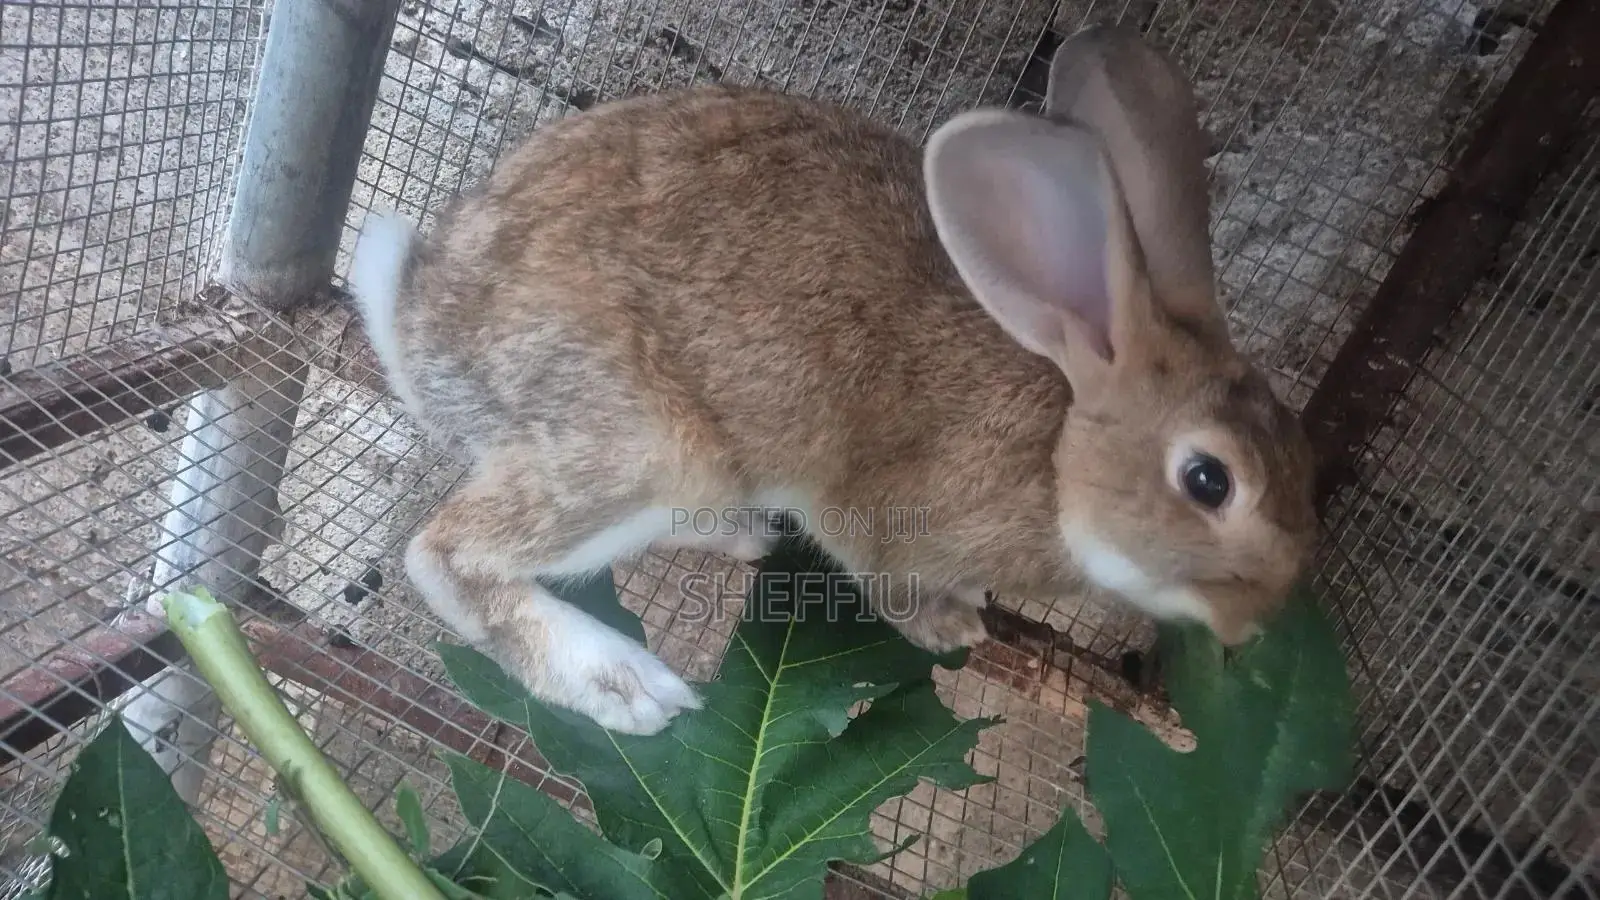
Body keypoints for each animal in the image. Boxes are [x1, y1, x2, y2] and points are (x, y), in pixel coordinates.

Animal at [348, 25, 1318, 736]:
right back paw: (627, 687)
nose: (1256, 624)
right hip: (648, 450)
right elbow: (892, 585)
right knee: (443, 554)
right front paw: (952, 624)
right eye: (1208, 480)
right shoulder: (891, 527)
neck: (1058, 455)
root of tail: (420, 323)